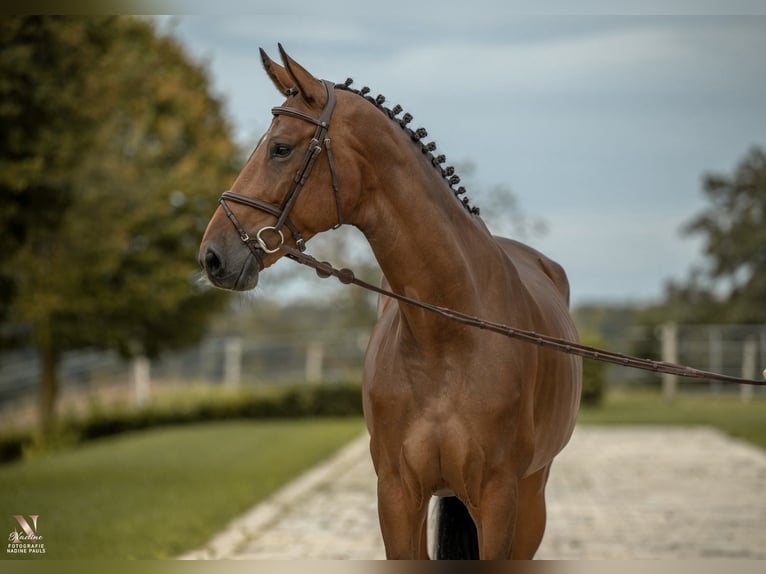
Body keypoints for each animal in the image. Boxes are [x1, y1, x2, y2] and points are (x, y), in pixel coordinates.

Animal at [200, 46, 584, 564]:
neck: (447, 337)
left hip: (533, 495)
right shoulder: (398, 496)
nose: (213, 256)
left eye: (280, 148)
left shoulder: (499, 498)